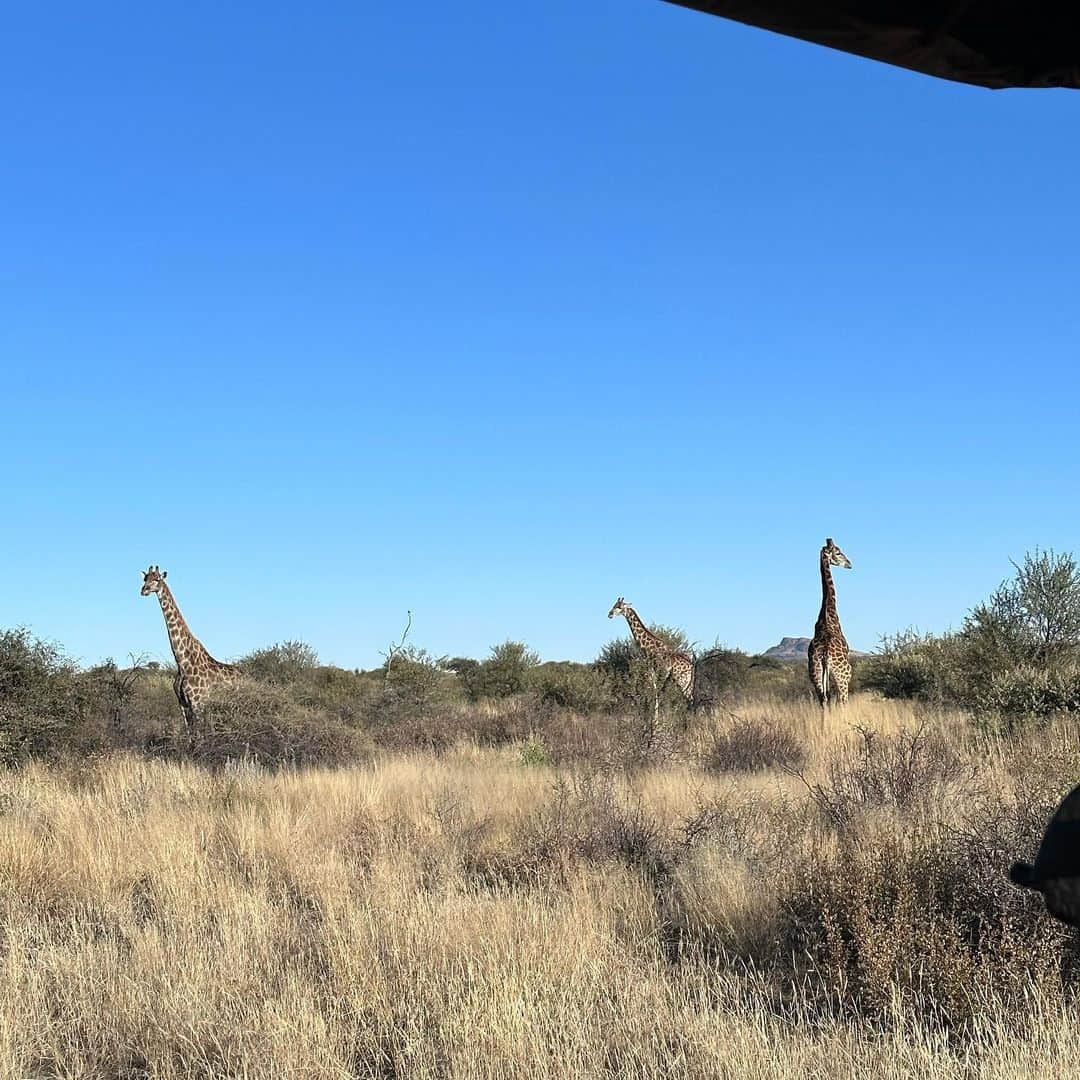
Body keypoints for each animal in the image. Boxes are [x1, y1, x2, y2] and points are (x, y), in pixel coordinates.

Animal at [139, 565, 240, 751]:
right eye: (145, 579)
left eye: (157, 579)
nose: (144, 590)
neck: (182, 662)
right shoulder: (182, 704)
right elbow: (190, 735)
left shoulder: (198, 703)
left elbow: (199, 735)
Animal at [807, 537, 855, 708]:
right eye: (838, 552)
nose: (849, 564)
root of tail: (825, 655)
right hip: (843, 677)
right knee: (843, 701)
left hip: (815, 674)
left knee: (824, 700)